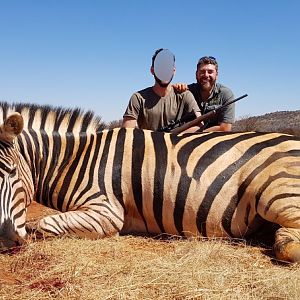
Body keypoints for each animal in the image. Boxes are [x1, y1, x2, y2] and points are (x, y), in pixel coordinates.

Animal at [0, 102, 300, 262]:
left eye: (12, 171)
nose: (6, 240)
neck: (78, 159)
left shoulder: (107, 212)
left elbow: (41, 225)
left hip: (277, 192)